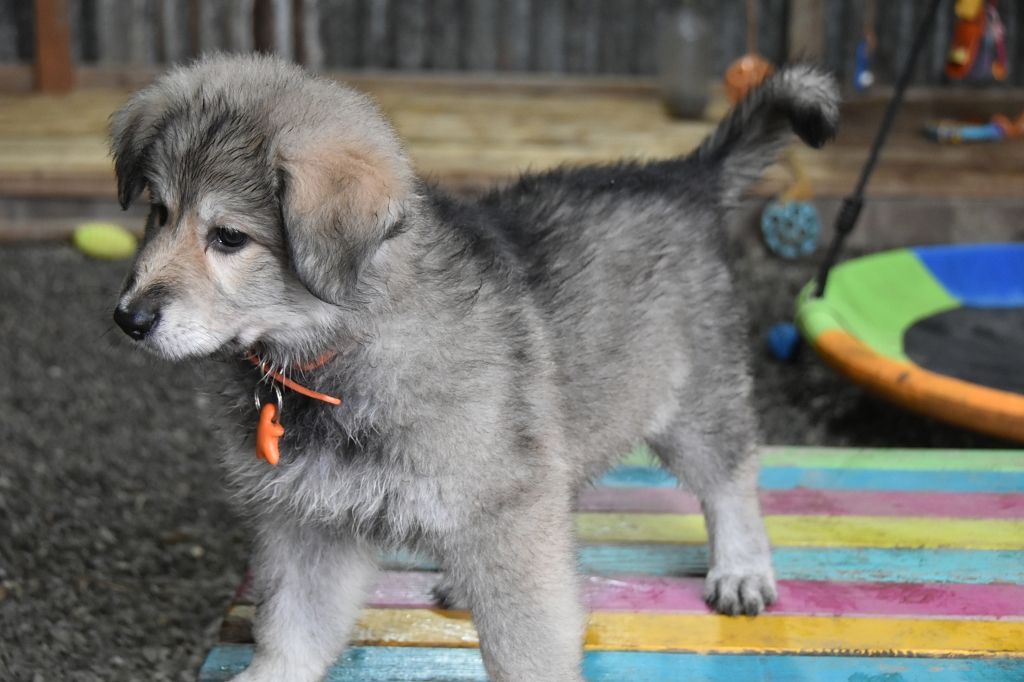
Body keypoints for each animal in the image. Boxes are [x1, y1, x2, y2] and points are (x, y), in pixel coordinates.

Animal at [110, 54, 838, 682]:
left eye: (229, 238)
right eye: (158, 213)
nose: (128, 319)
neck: (331, 353)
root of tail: (684, 178)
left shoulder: (508, 513)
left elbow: (527, 645)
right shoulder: (312, 523)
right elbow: (293, 631)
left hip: (691, 401)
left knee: (731, 478)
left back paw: (741, 566)